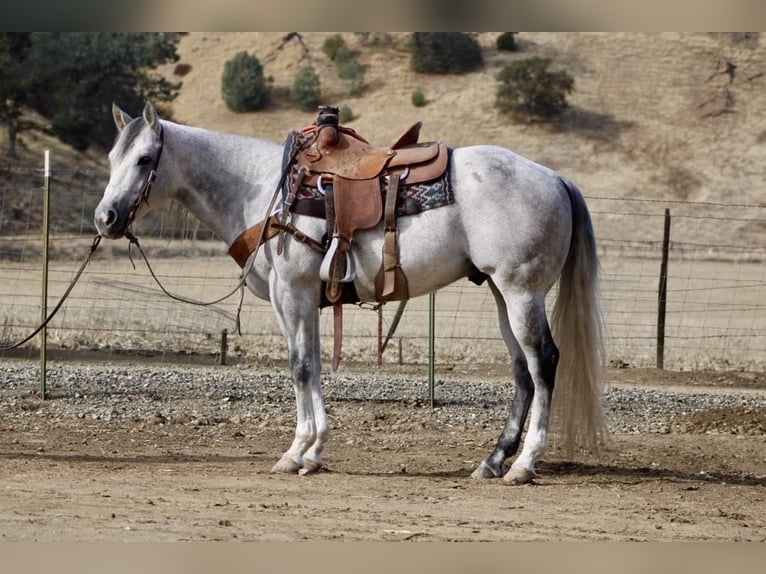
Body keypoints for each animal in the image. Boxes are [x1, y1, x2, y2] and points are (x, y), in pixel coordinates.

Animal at [94, 102, 606, 484]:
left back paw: (524, 464)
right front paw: (314, 452)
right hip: (502, 292)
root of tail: (555, 178)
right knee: (522, 370)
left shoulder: (294, 291)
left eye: (144, 160)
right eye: (112, 158)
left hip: (522, 292)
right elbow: (312, 364)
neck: (263, 188)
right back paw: (494, 460)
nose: (105, 218)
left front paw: (296, 450)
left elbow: (300, 368)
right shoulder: (294, 299)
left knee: (543, 362)